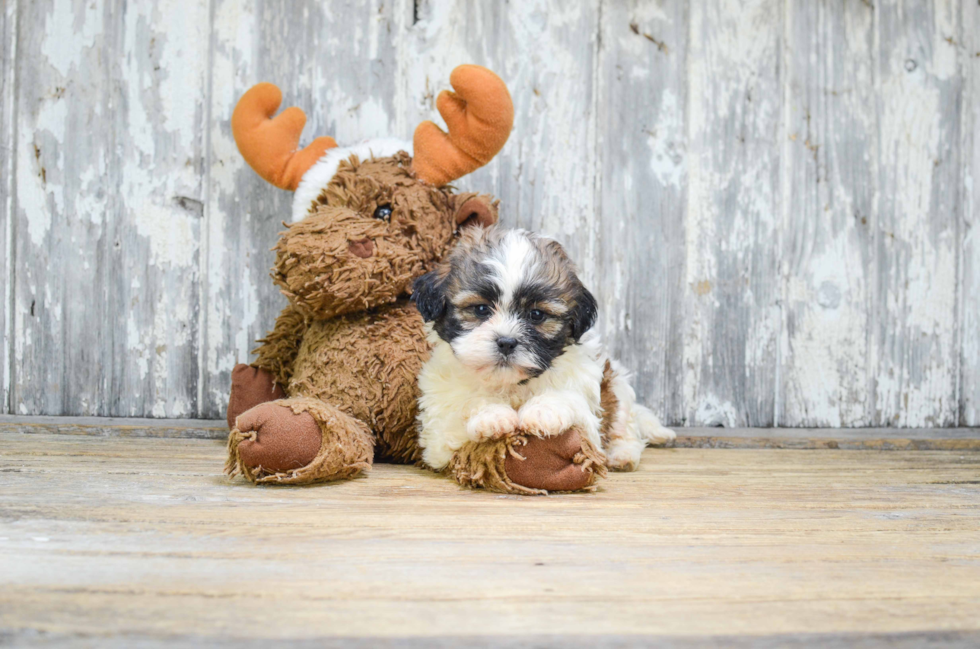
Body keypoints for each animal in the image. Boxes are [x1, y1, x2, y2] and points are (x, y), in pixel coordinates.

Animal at [412, 225, 672, 474]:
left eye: (536, 314)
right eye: (481, 309)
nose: (506, 342)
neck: (510, 385)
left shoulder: (588, 415)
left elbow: (569, 399)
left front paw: (543, 411)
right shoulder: (436, 435)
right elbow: (461, 408)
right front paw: (491, 415)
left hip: (617, 385)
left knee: (625, 428)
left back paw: (622, 455)